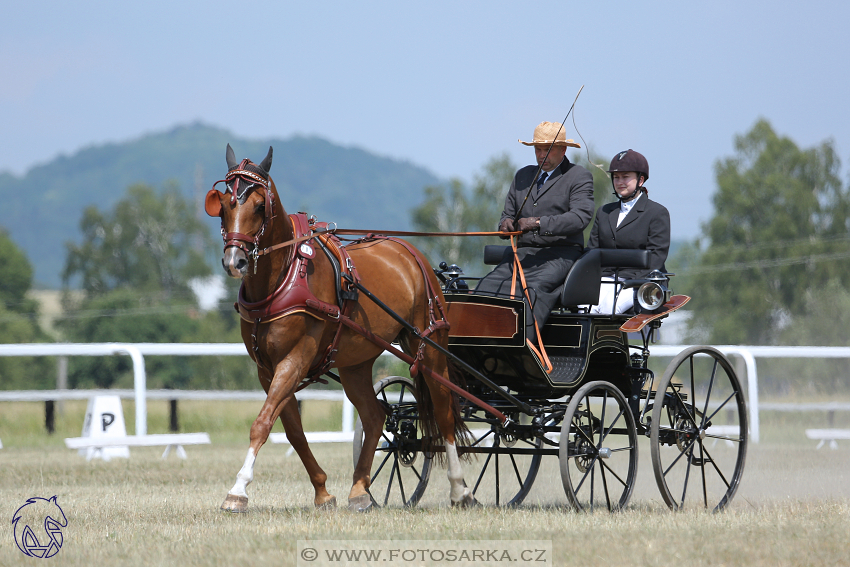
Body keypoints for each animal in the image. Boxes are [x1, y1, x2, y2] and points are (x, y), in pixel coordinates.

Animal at [203, 145, 474, 510]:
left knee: (444, 411)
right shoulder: (267, 368)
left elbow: (262, 423)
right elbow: (292, 430)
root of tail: (411, 252)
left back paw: (460, 489)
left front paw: (238, 489)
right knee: (374, 416)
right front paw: (322, 490)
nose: (235, 261)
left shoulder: (296, 357)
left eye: (260, 206)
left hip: (429, 344)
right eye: (224, 204)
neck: (284, 275)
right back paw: (360, 490)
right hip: (356, 362)